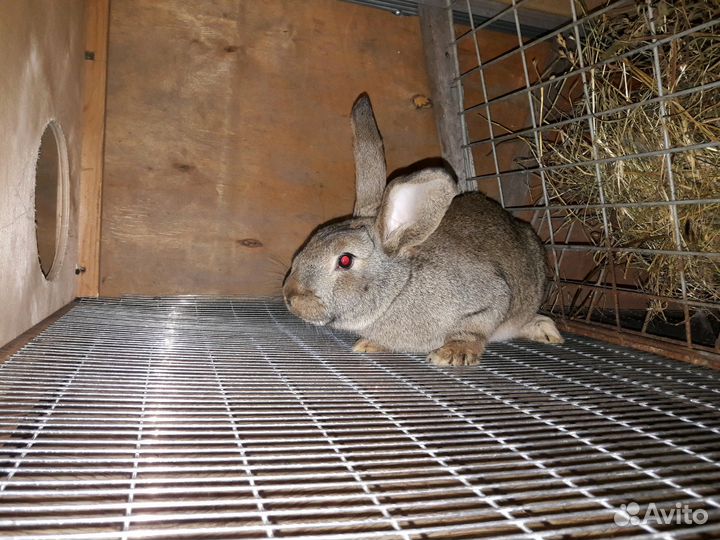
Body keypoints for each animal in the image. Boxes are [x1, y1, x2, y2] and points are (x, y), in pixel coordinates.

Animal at [283, 94, 563, 366]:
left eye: (345, 260)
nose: (289, 296)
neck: (398, 291)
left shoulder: (492, 298)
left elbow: (473, 330)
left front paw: (452, 354)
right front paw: (369, 344)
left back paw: (547, 332)